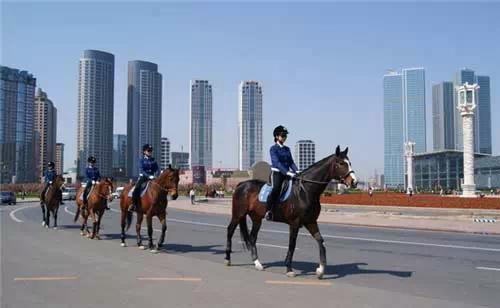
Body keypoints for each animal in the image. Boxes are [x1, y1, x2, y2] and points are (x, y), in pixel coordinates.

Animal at [225, 147, 358, 280]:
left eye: (349, 162)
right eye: (341, 163)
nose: (354, 182)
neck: (305, 191)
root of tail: (241, 184)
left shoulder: (311, 222)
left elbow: (321, 241)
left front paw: (320, 270)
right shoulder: (294, 223)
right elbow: (292, 245)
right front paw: (289, 269)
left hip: (256, 218)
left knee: (252, 237)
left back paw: (257, 264)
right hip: (238, 214)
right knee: (230, 230)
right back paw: (228, 259)